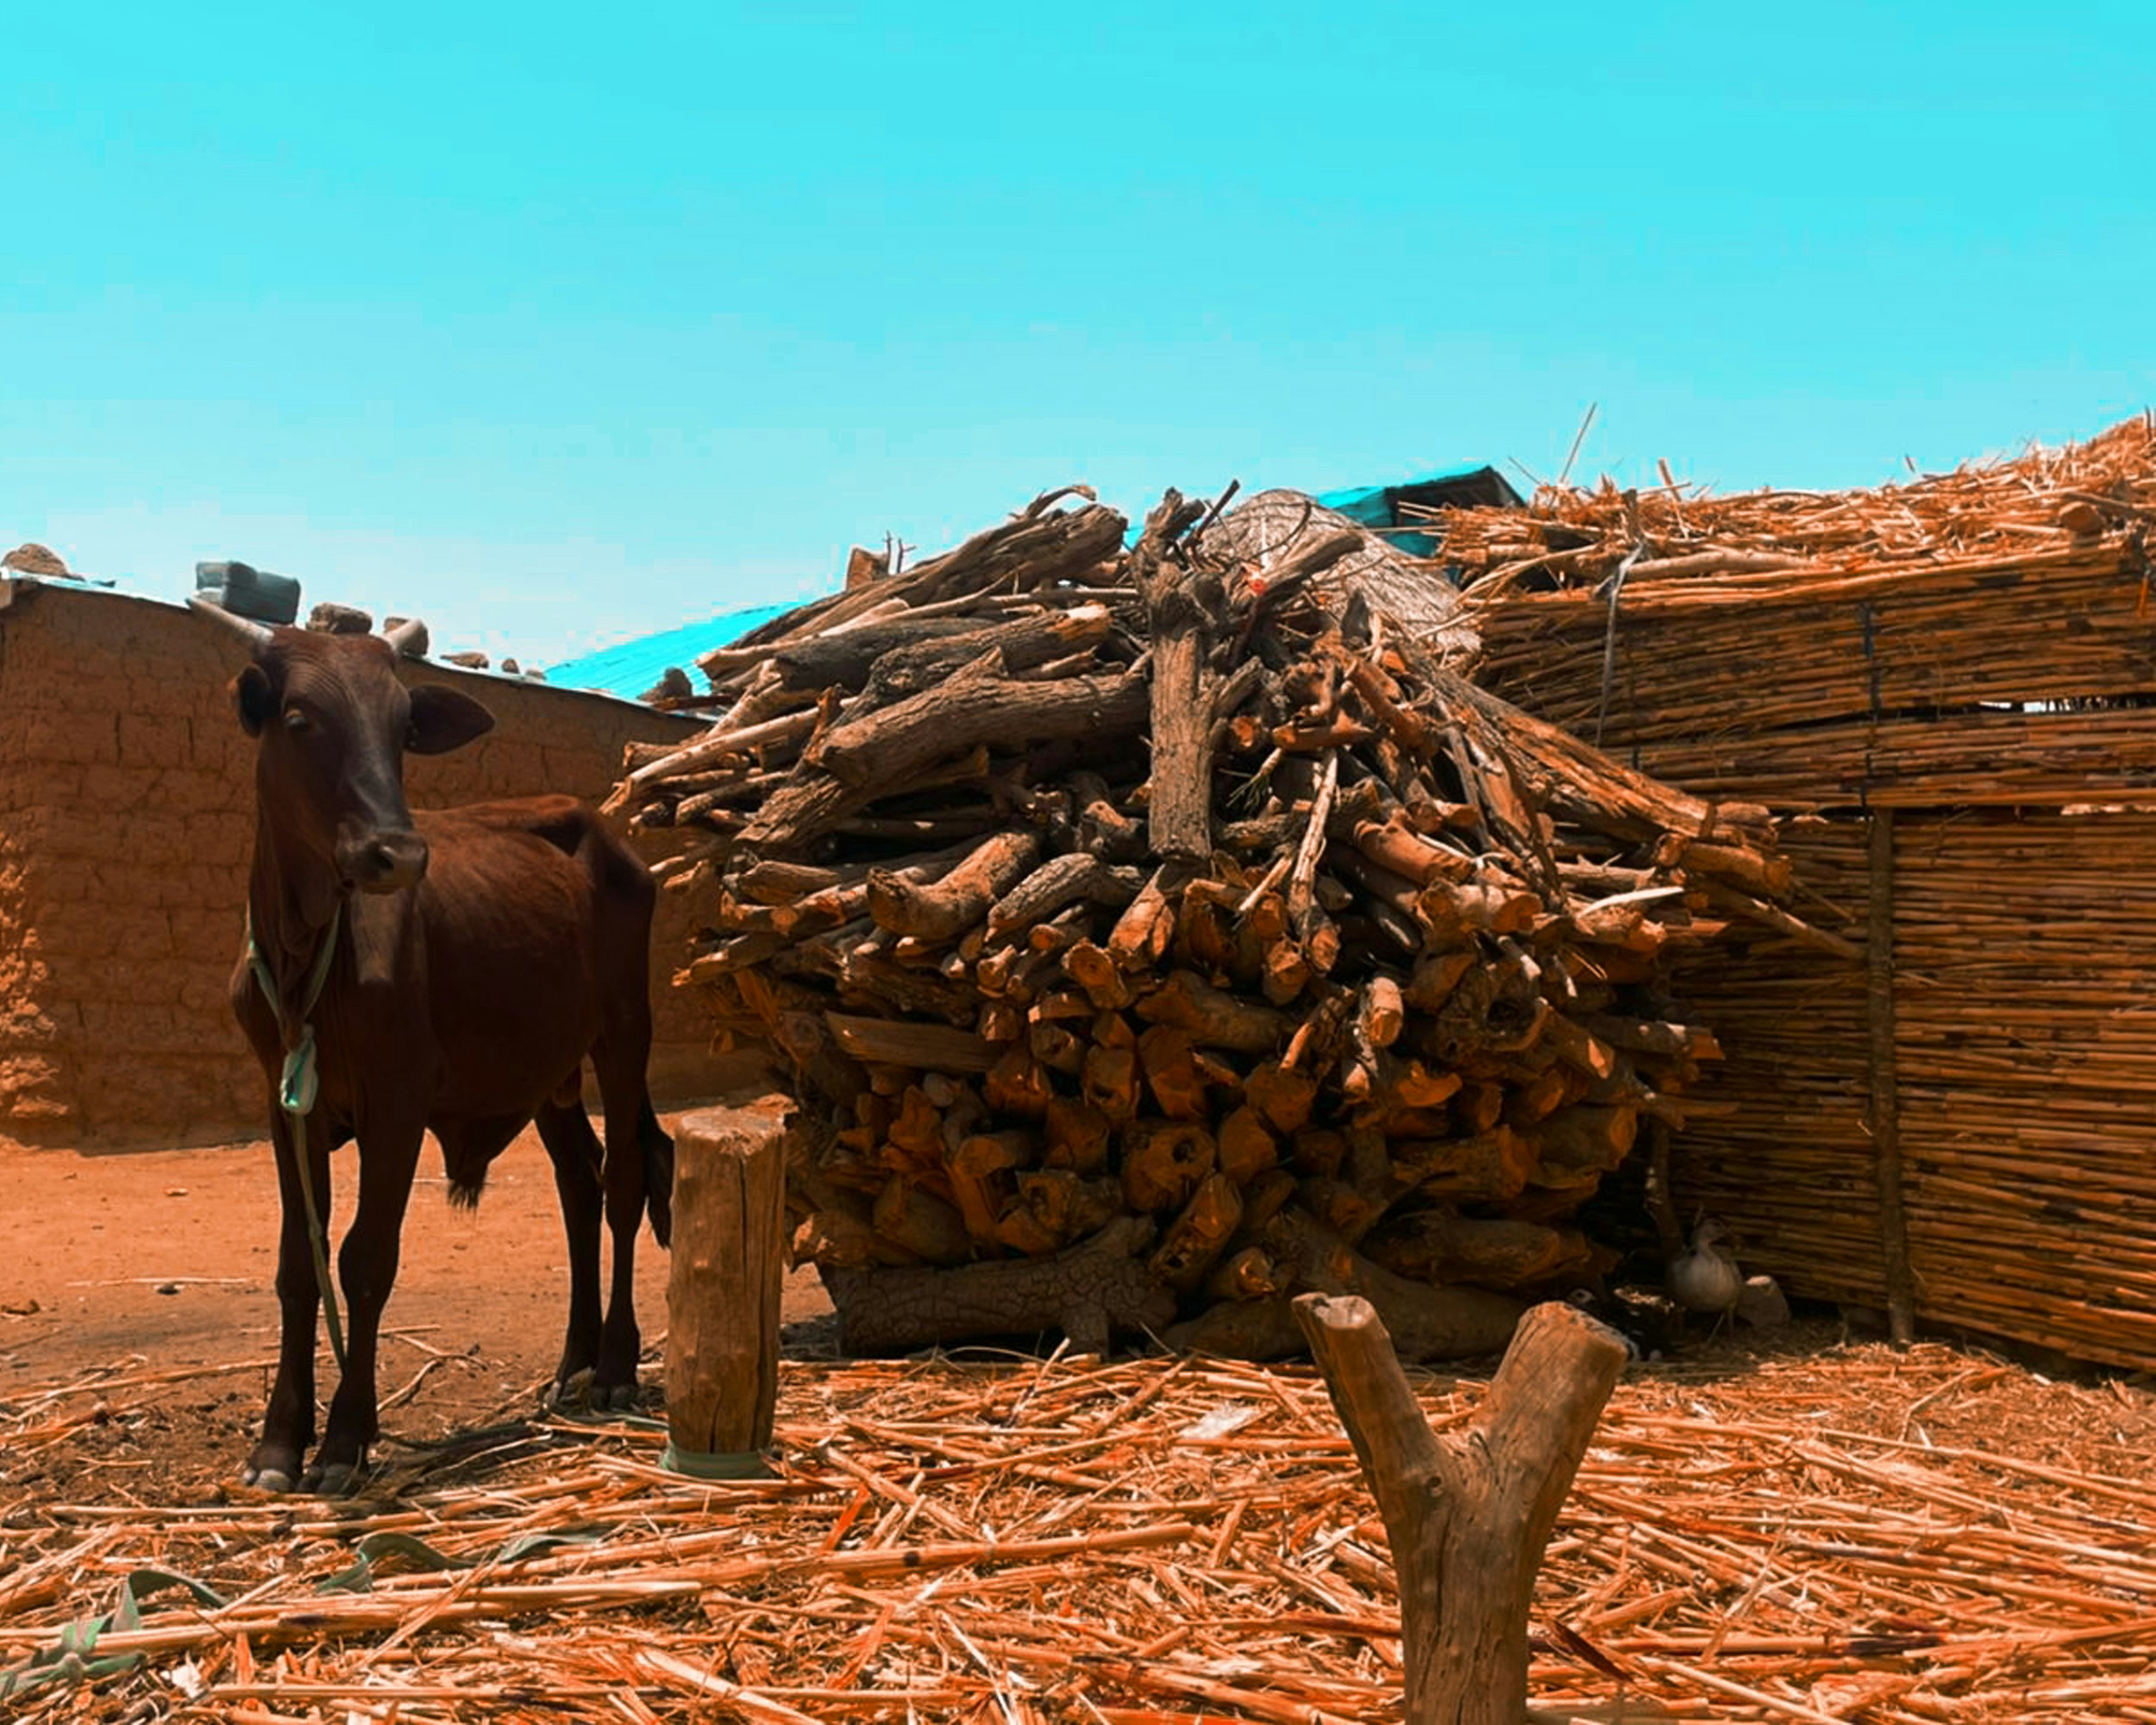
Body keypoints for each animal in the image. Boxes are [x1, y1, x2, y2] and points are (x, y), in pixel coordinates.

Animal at [190, 598, 675, 1493]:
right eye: (300, 720)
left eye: (402, 725)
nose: (399, 854)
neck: (310, 956)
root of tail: (604, 831)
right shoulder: (284, 1105)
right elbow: (299, 1264)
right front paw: (278, 1445)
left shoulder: (399, 1101)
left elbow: (365, 1259)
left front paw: (344, 1441)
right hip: (546, 1069)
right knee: (579, 1184)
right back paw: (573, 1364)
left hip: (627, 1031)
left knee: (625, 1180)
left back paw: (617, 1368)